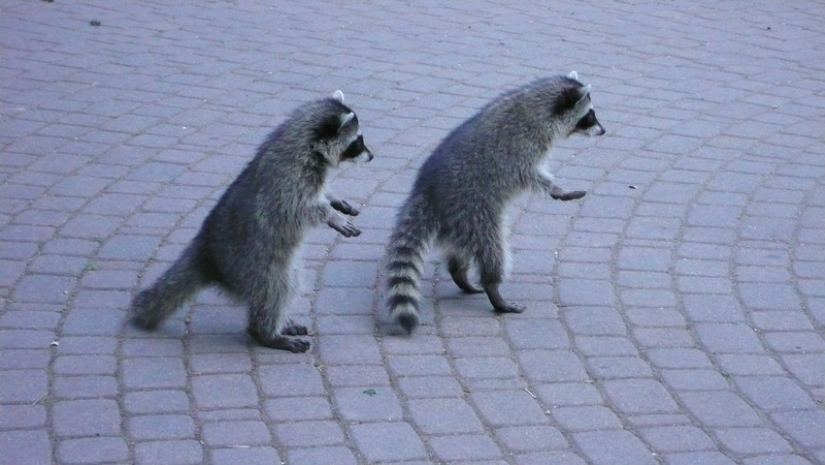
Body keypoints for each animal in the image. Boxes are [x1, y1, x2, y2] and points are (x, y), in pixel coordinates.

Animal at [131, 90, 373, 352]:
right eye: (357, 141)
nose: (372, 156)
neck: (305, 142)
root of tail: (207, 252)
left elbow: (319, 196)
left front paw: (333, 199)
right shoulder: (289, 181)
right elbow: (296, 210)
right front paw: (330, 214)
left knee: (289, 285)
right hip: (258, 264)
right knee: (277, 290)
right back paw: (267, 333)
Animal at [385, 71, 605, 334]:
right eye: (589, 115)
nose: (603, 130)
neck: (539, 104)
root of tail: (428, 190)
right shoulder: (521, 150)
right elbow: (532, 176)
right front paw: (556, 189)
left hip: (456, 220)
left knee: (459, 251)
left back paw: (460, 274)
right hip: (472, 208)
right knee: (491, 247)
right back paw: (494, 290)